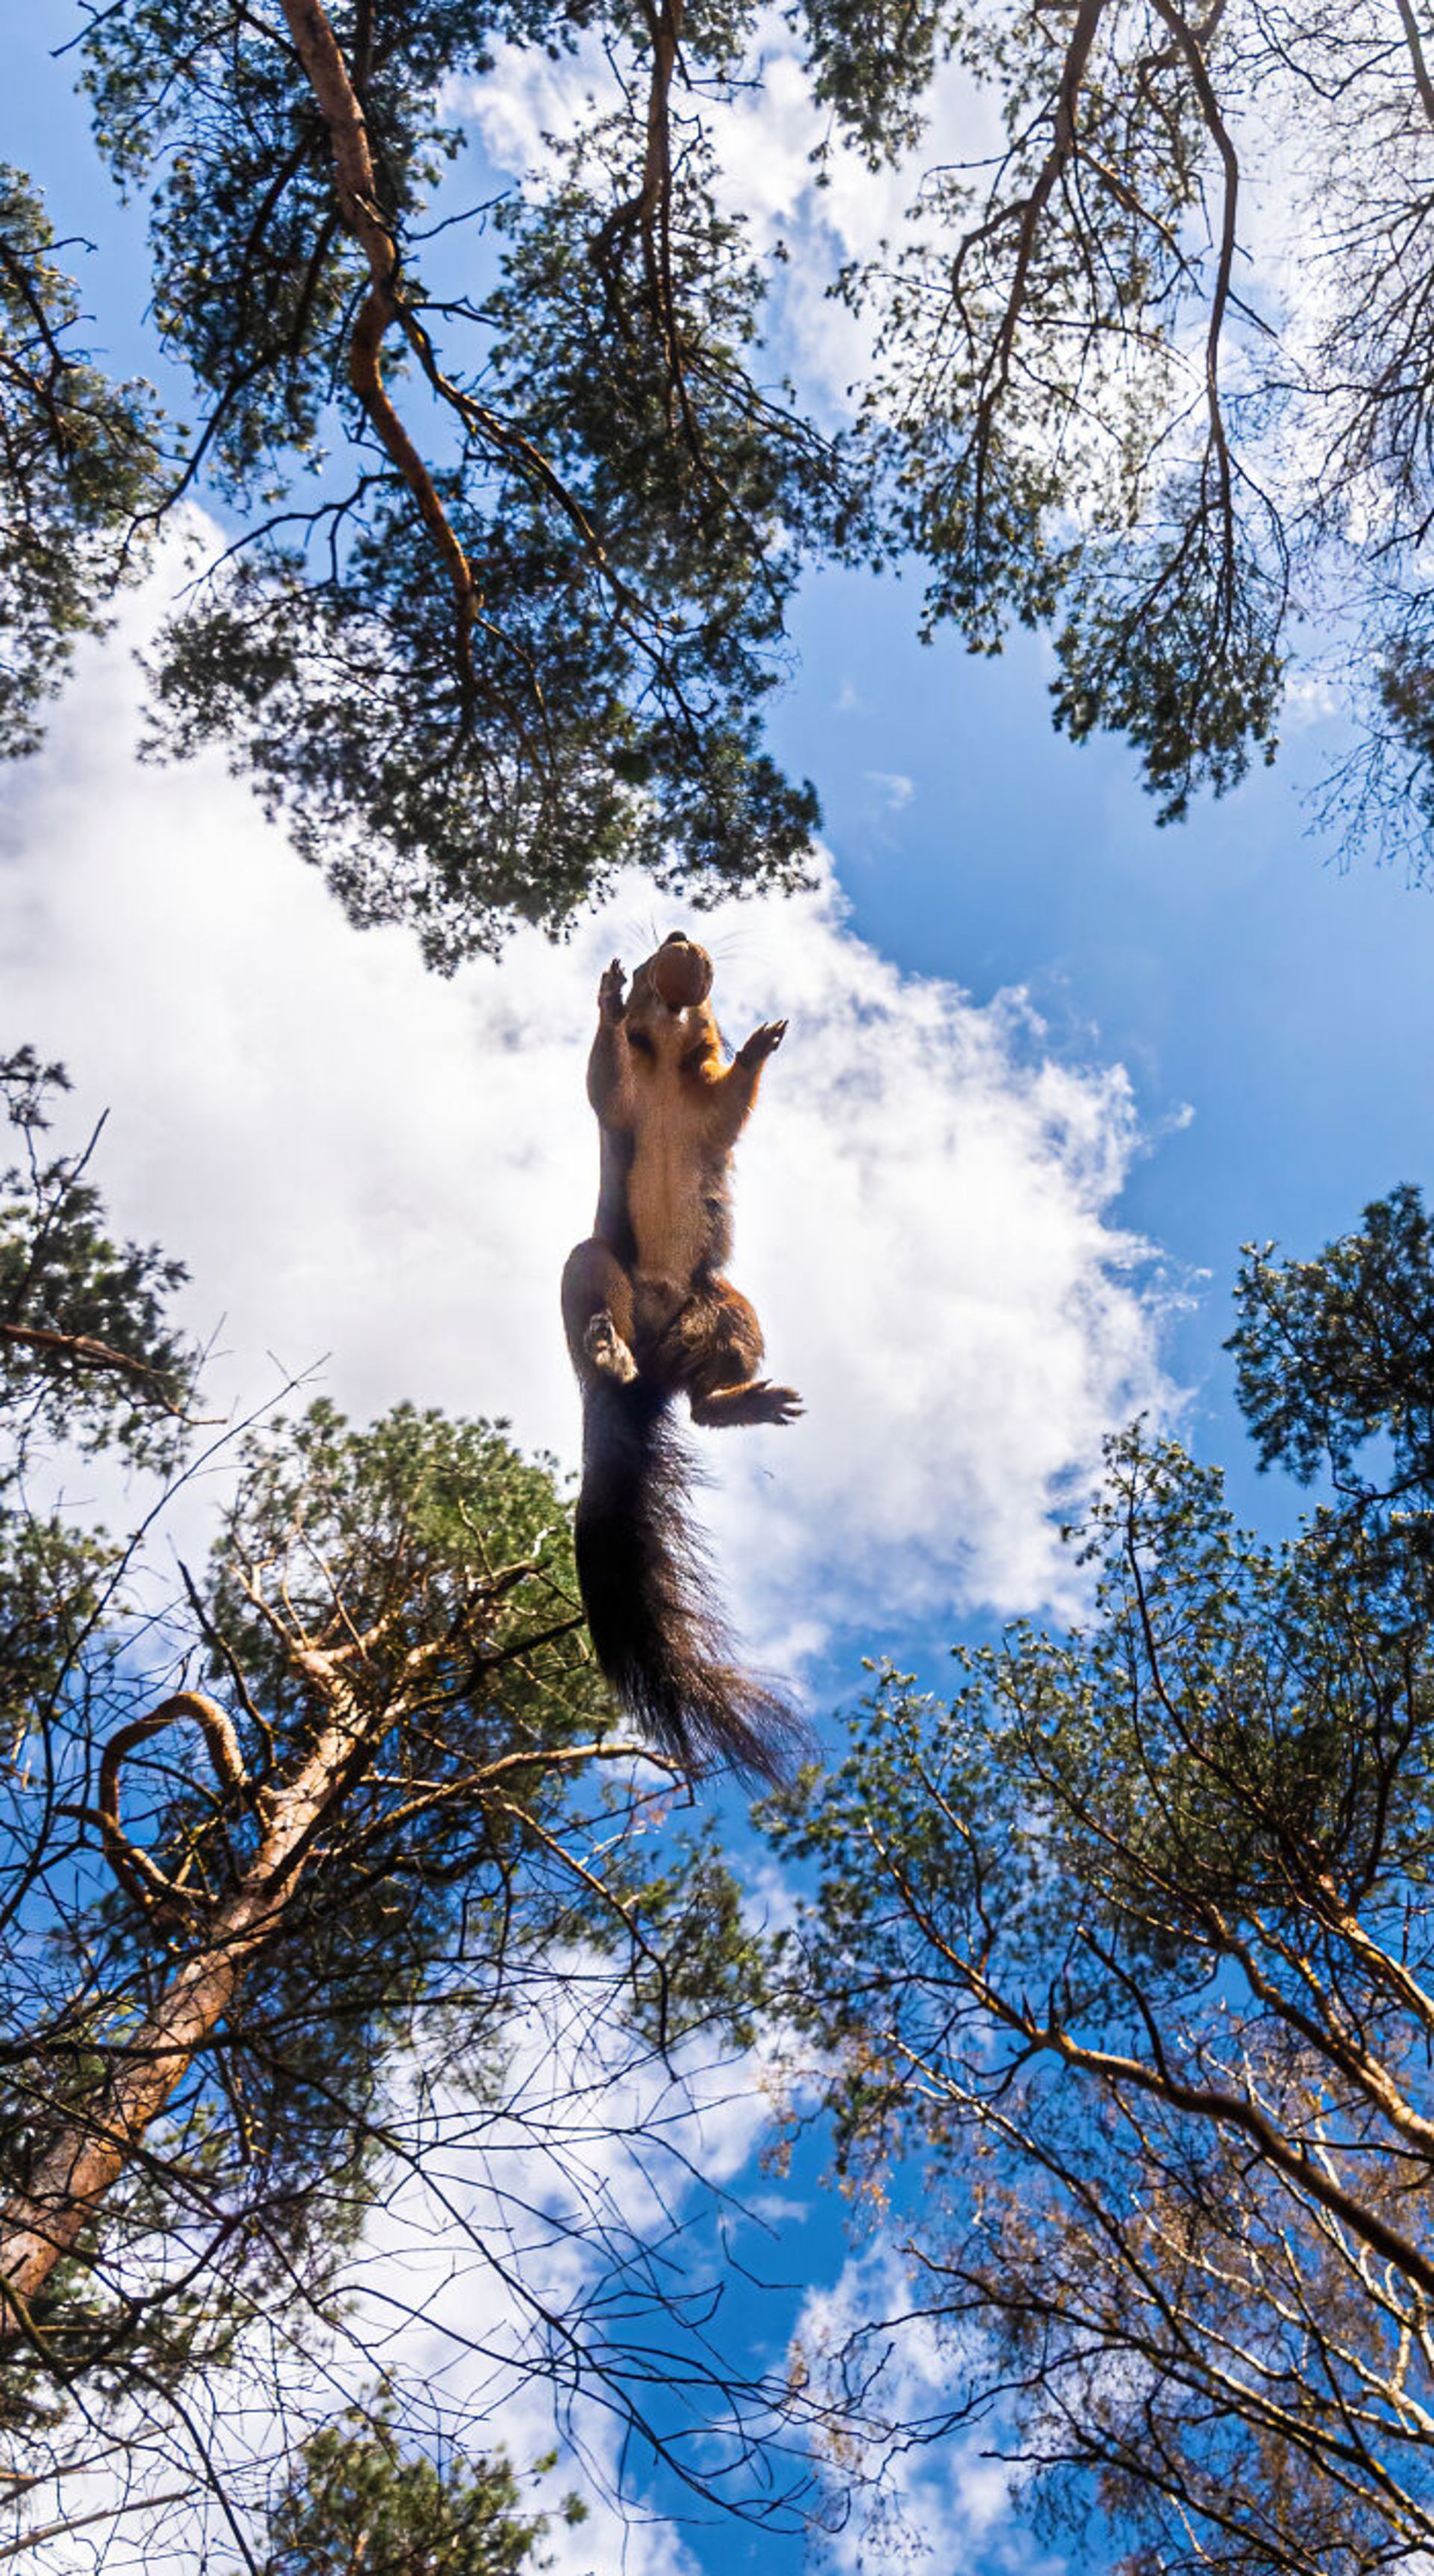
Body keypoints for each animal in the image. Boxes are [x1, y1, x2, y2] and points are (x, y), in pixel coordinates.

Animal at [561, 932, 803, 1792]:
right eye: (647, 961)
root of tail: (652, 1377)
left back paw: (743, 1400)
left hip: (728, 1309)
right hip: (594, 1263)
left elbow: (732, 1102)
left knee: (702, 1403)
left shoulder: (708, 1114)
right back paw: (604, 1347)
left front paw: (762, 1042)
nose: (678, 941)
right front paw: (603, 999)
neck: (665, 1065)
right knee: (593, 1305)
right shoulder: (621, 1101)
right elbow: (601, 1074)